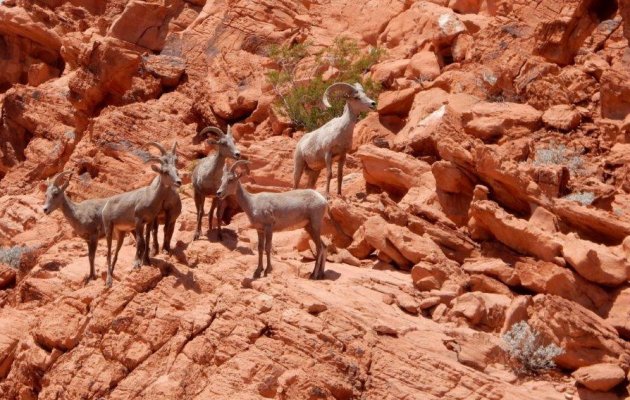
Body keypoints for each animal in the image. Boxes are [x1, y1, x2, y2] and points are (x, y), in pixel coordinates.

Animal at [101, 142, 180, 286]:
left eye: (175, 170)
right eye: (165, 172)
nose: (179, 182)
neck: (150, 197)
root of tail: (106, 205)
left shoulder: (149, 222)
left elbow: (147, 239)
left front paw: (147, 261)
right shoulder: (138, 221)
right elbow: (140, 242)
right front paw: (137, 264)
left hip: (121, 233)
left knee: (116, 253)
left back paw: (112, 275)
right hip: (109, 228)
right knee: (109, 252)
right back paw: (109, 281)